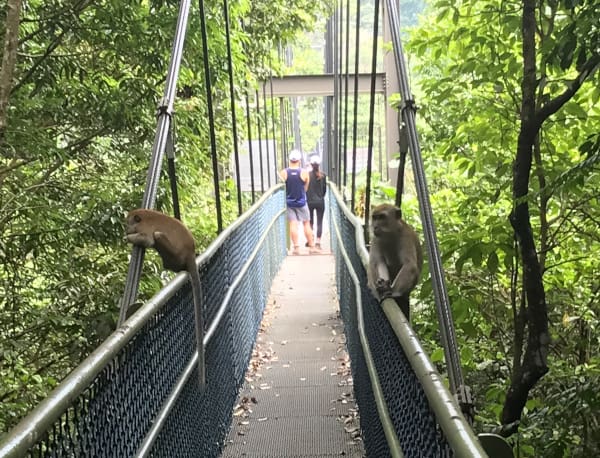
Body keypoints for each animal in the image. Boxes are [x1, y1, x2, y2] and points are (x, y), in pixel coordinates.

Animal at [125, 210, 206, 386]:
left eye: (129, 223)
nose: (126, 228)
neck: (142, 217)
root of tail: (190, 252)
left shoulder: (145, 228)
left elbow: (148, 239)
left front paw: (129, 238)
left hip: (173, 253)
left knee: (157, 235)